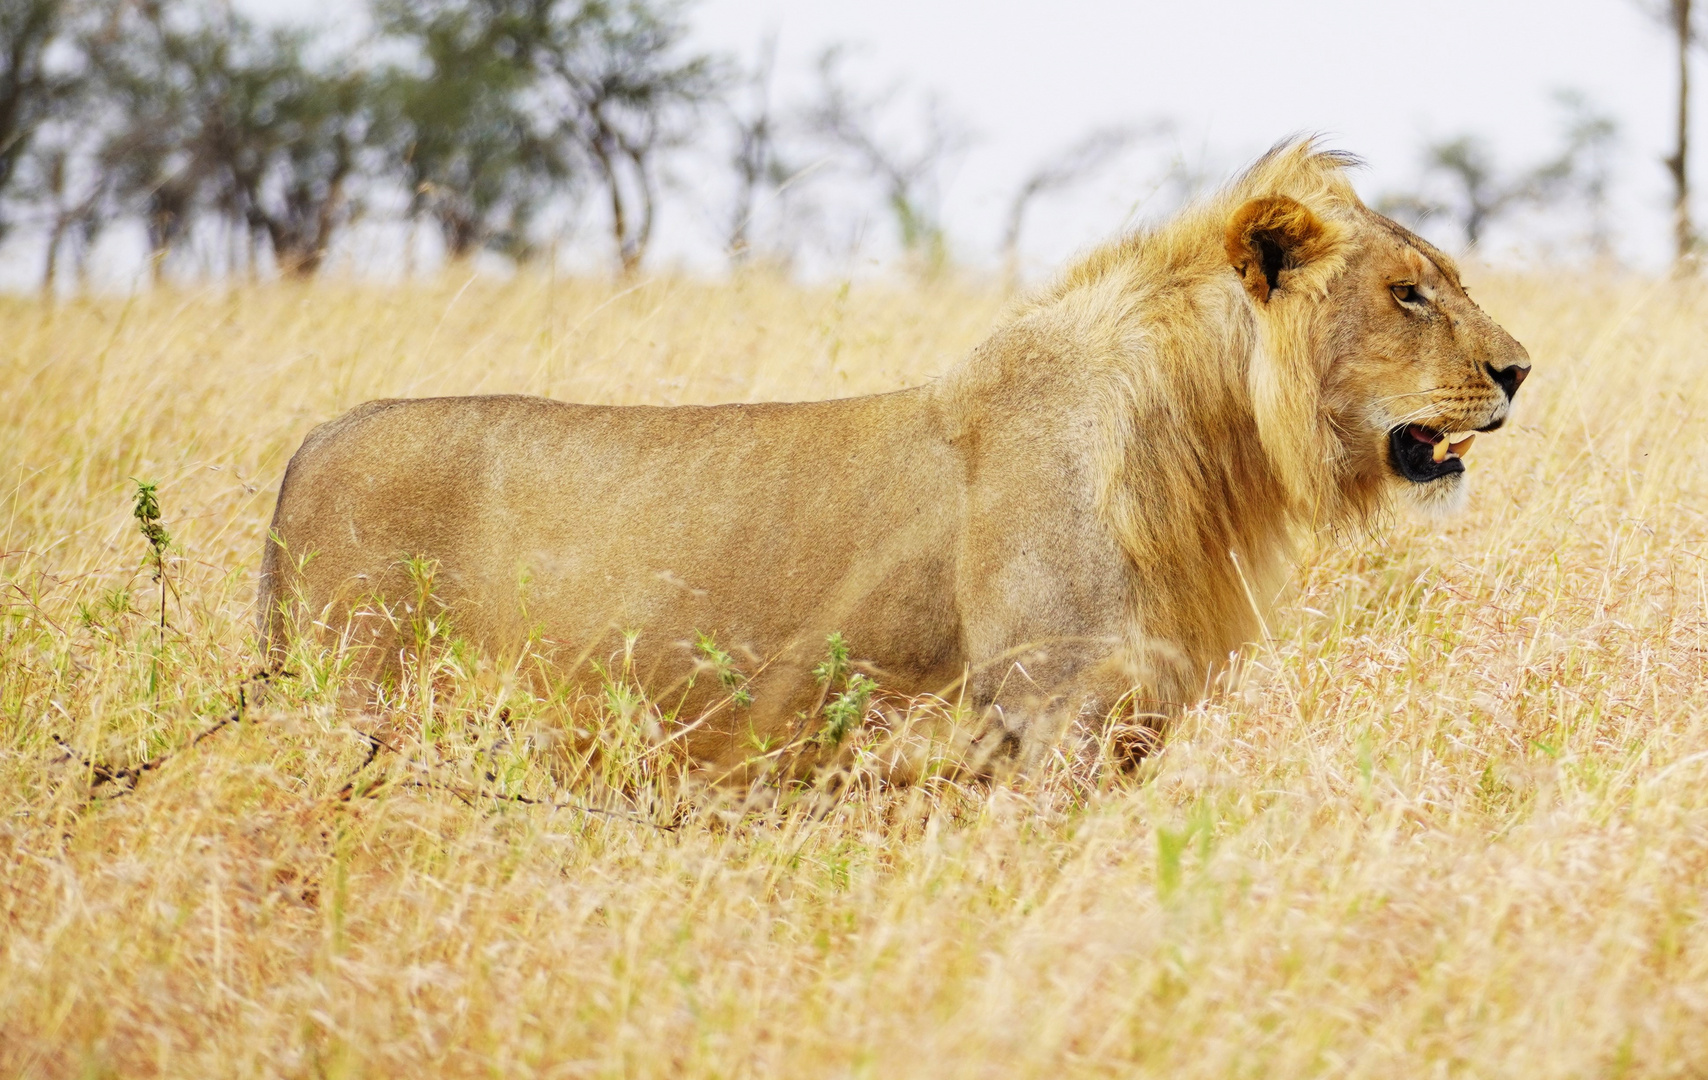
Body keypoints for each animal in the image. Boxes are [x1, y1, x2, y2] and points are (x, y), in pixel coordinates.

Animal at [256, 140, 1537, 775]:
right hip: (357, 707)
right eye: (1409, 294)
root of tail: (314, 440)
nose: (1520, 370)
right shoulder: (1043, 716)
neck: (1200, 451)